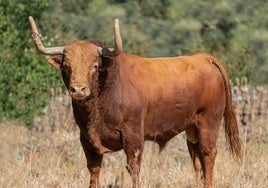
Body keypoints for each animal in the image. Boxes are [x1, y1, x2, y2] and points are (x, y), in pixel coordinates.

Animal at [28, 16, 242, 188]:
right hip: (192, 128)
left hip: (209, 122)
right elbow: (94, 170)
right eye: (66, 66)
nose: (78, 89)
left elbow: (133, 168)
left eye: (94, 66)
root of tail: (201, 57)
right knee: (196, 156)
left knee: (208, 154)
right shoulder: (87, 139)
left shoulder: (133, 136)